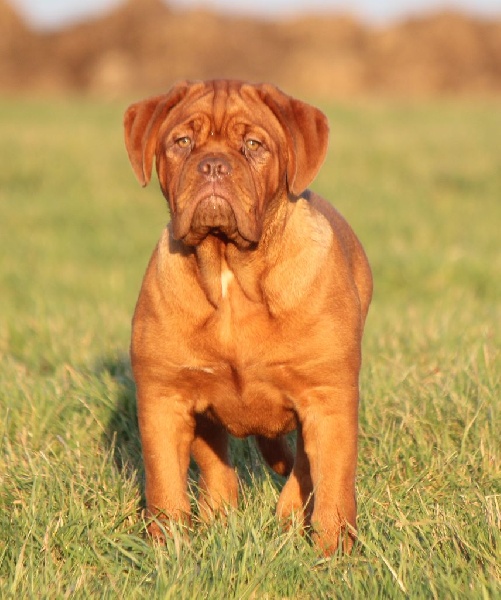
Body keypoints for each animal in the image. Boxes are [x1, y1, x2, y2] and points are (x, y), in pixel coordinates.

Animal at [122, 78, 372, 552]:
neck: (230, 275)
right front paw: (166, 546)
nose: (214, 166)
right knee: (218, 465)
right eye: (182, 142)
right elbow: (164, 484)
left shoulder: (328, 396)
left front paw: (333, 551)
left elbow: (332, 485)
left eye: (254, 145)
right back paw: (219, 516)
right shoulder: (165, 397)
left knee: (304, 466)